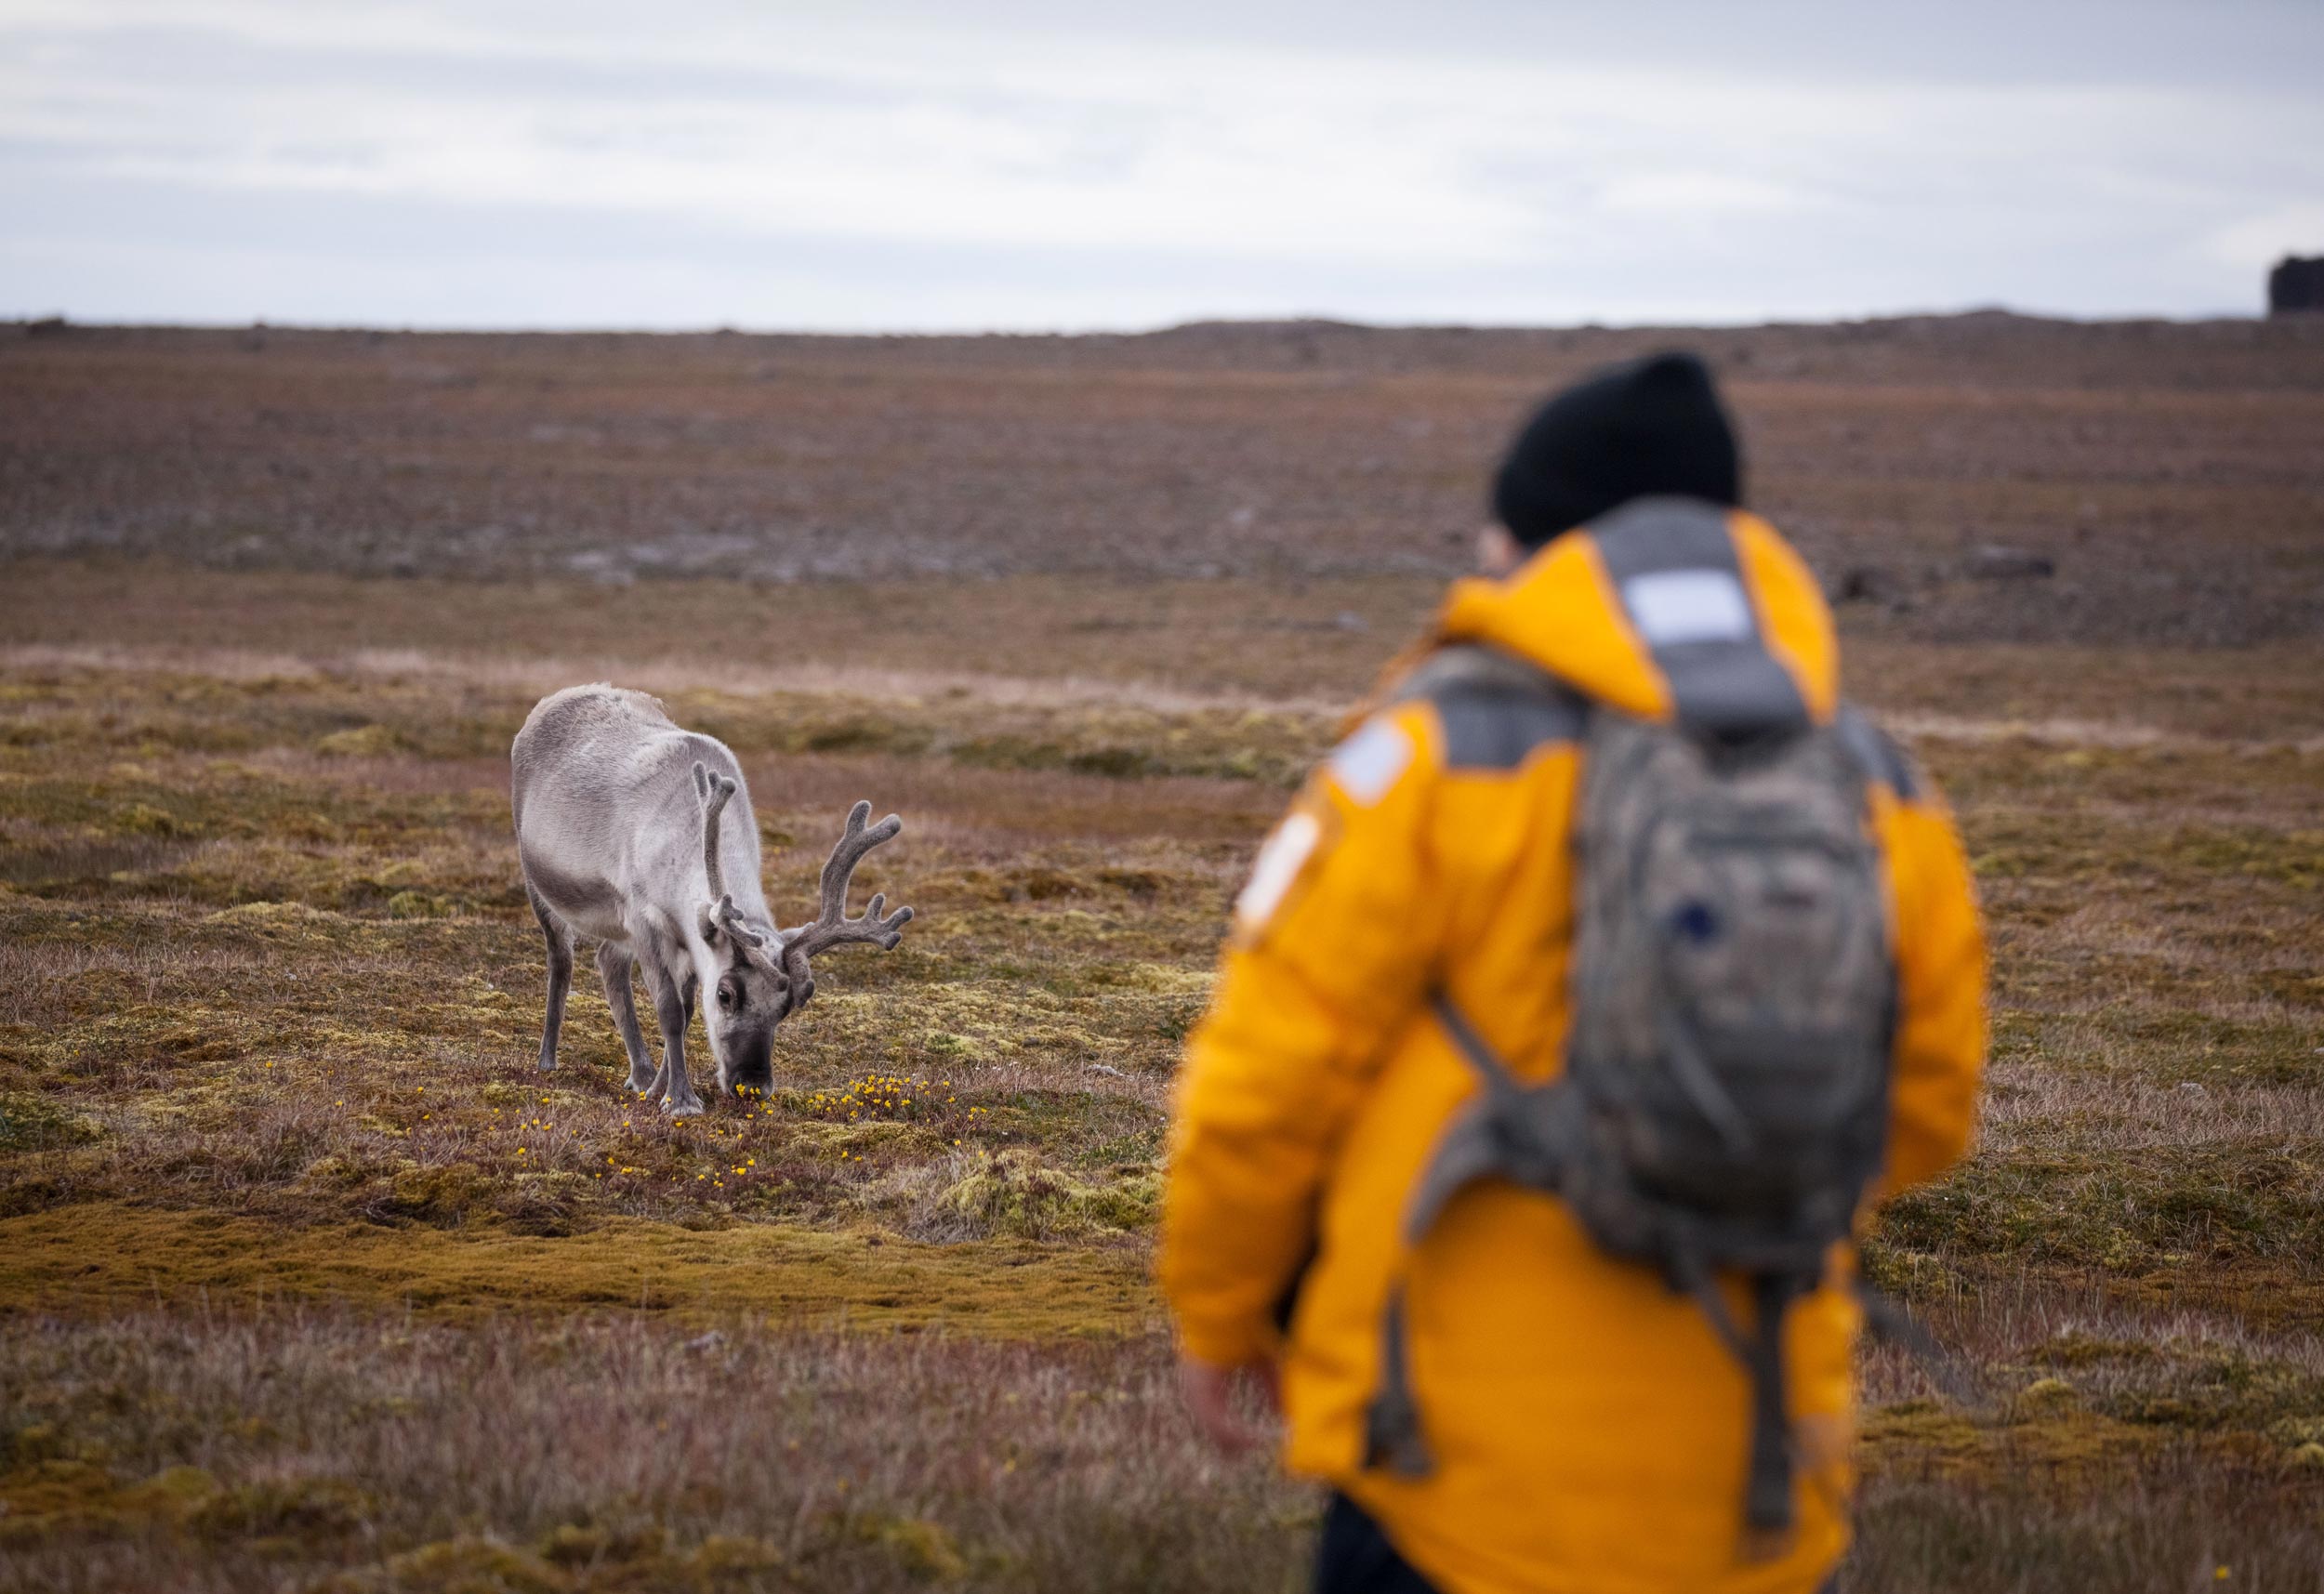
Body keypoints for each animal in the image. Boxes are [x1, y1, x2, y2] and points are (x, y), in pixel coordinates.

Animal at [510, 684, 913, 1116]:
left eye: (787, 1006)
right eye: (726, 995)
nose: (752, 1085)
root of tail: (556, 698)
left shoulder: (687, 938)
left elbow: (688, 1012)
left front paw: (658, 1089)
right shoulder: (644, 919)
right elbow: (670, 1010)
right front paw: (680, 1099)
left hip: (616, 927)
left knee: (608, 962)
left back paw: (640, 1075)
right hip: (539, 884)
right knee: (562, 961)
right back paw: (547, 1060)